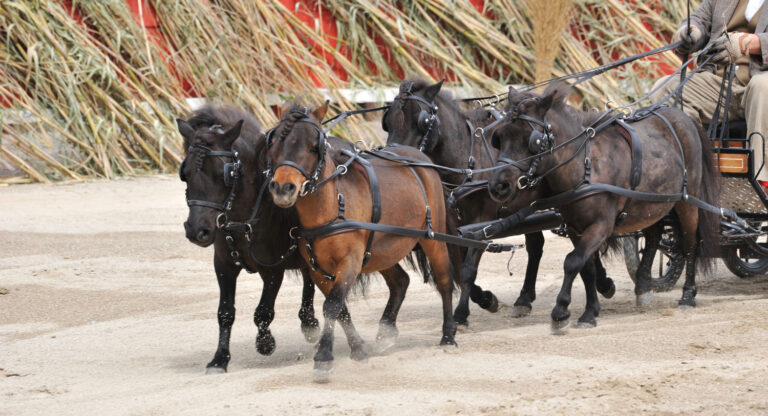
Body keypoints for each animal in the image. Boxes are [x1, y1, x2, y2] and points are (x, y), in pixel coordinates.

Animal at [177, 105, 320, 374]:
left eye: (223, 174)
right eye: (185, 173)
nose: (196, 231)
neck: (243, 219)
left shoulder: (273, 269)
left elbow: (263, 312)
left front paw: (265, 343)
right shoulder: (223, 265)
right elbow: (225, 313)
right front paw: (219, 359)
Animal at [268, 103, 456, 380]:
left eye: (314, 145)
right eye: (275, 143)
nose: (283, 188)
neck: (333, 205)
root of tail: (418, 156)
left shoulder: (350, 262)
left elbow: (332, 305)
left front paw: (324, 356)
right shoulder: (317, 270)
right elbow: (340, 308)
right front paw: (358, 348)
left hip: (433, 239)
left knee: (444, 281)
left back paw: (448, 335)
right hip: (381, 250)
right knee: (400, 281)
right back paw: (385, 333)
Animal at [384, 80, 616, 322]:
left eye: (422, 122)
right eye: (388, 122)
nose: (393, 158)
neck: (469, 159)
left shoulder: (482, 219)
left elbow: (468, 269)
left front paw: (462, 312)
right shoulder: (457, 224)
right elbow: (459, 266)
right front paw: (485, 299)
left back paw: (602, 283)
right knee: (539, 246)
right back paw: (526, 298)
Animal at [488, 83, 716, 332]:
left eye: (530, 140)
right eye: (499, 138)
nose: (498, 185)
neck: (585, 166)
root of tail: (683, 116)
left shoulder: (601, 226)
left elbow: (572, 261)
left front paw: (560, 311)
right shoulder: (575, 228)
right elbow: (585, 267)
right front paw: (590, 312)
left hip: (687, 201)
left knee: (690, 243)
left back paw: (688, 296)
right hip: (648, 204)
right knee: (654, 237)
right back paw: (643, 287)